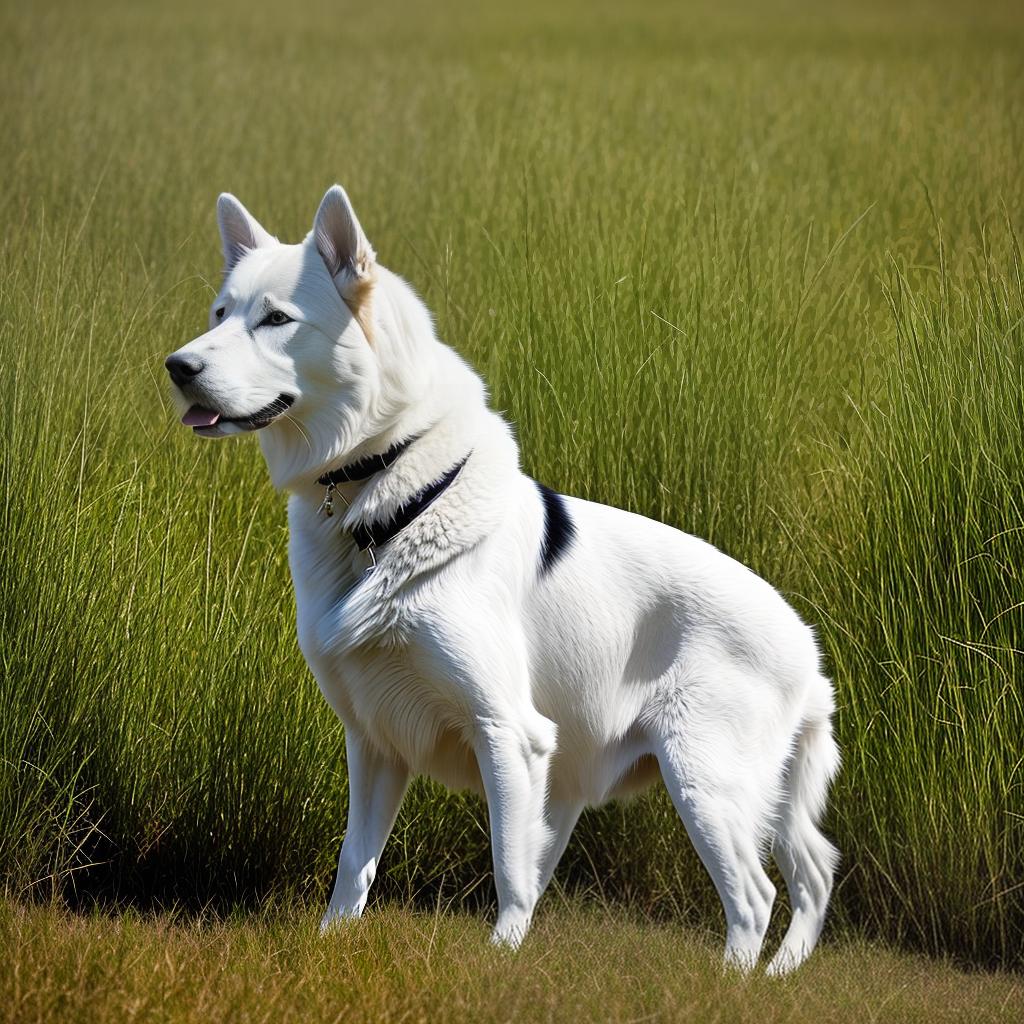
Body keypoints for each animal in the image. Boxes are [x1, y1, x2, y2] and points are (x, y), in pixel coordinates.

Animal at [165, 186, 839, 974]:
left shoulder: (509, 734)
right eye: (220, 313)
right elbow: (354, 865)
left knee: (757, 897)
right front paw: (332, 947)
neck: (385, 498)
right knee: (815, 875)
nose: (177, 366)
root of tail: (808, 653)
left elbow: (511, 871)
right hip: (741, 792)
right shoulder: (375, 744)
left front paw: (499, 963)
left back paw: (729, 984)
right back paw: (779, 978)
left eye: (276, 319)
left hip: (705, 780)